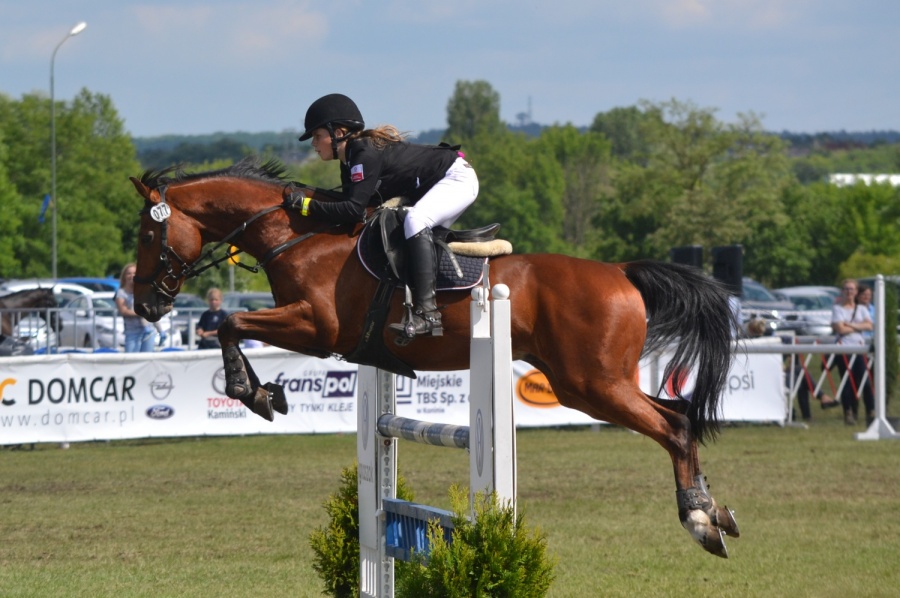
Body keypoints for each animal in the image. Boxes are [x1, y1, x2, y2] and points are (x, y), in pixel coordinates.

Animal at [130, 158, 740, 556]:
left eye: (145, 236)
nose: (145, 304)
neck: (296, 235)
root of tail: (620, 272)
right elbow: (234, 328)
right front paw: (263, 392)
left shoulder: (316, 327)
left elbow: (231, 324)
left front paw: (253, 393)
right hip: (587, 383)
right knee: (678, 416)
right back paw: (715, 513)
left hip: (593, 383)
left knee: (674, 426)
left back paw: (699, 519)